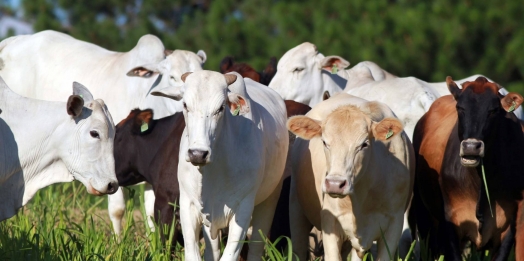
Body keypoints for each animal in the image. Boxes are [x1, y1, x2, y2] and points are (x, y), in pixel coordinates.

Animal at [151, 70, 288, 258]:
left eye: (221, 108)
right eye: (185, 105)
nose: (198, 154)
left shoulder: (243, 208)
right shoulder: (188, 205)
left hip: (270, 198)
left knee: (256, 248)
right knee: (212, 250)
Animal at [410, 76, 524, 258]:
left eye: (493, 110)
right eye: (460, 108)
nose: (471, 147)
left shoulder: (509, 223)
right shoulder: (451, 221)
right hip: (424, 216)